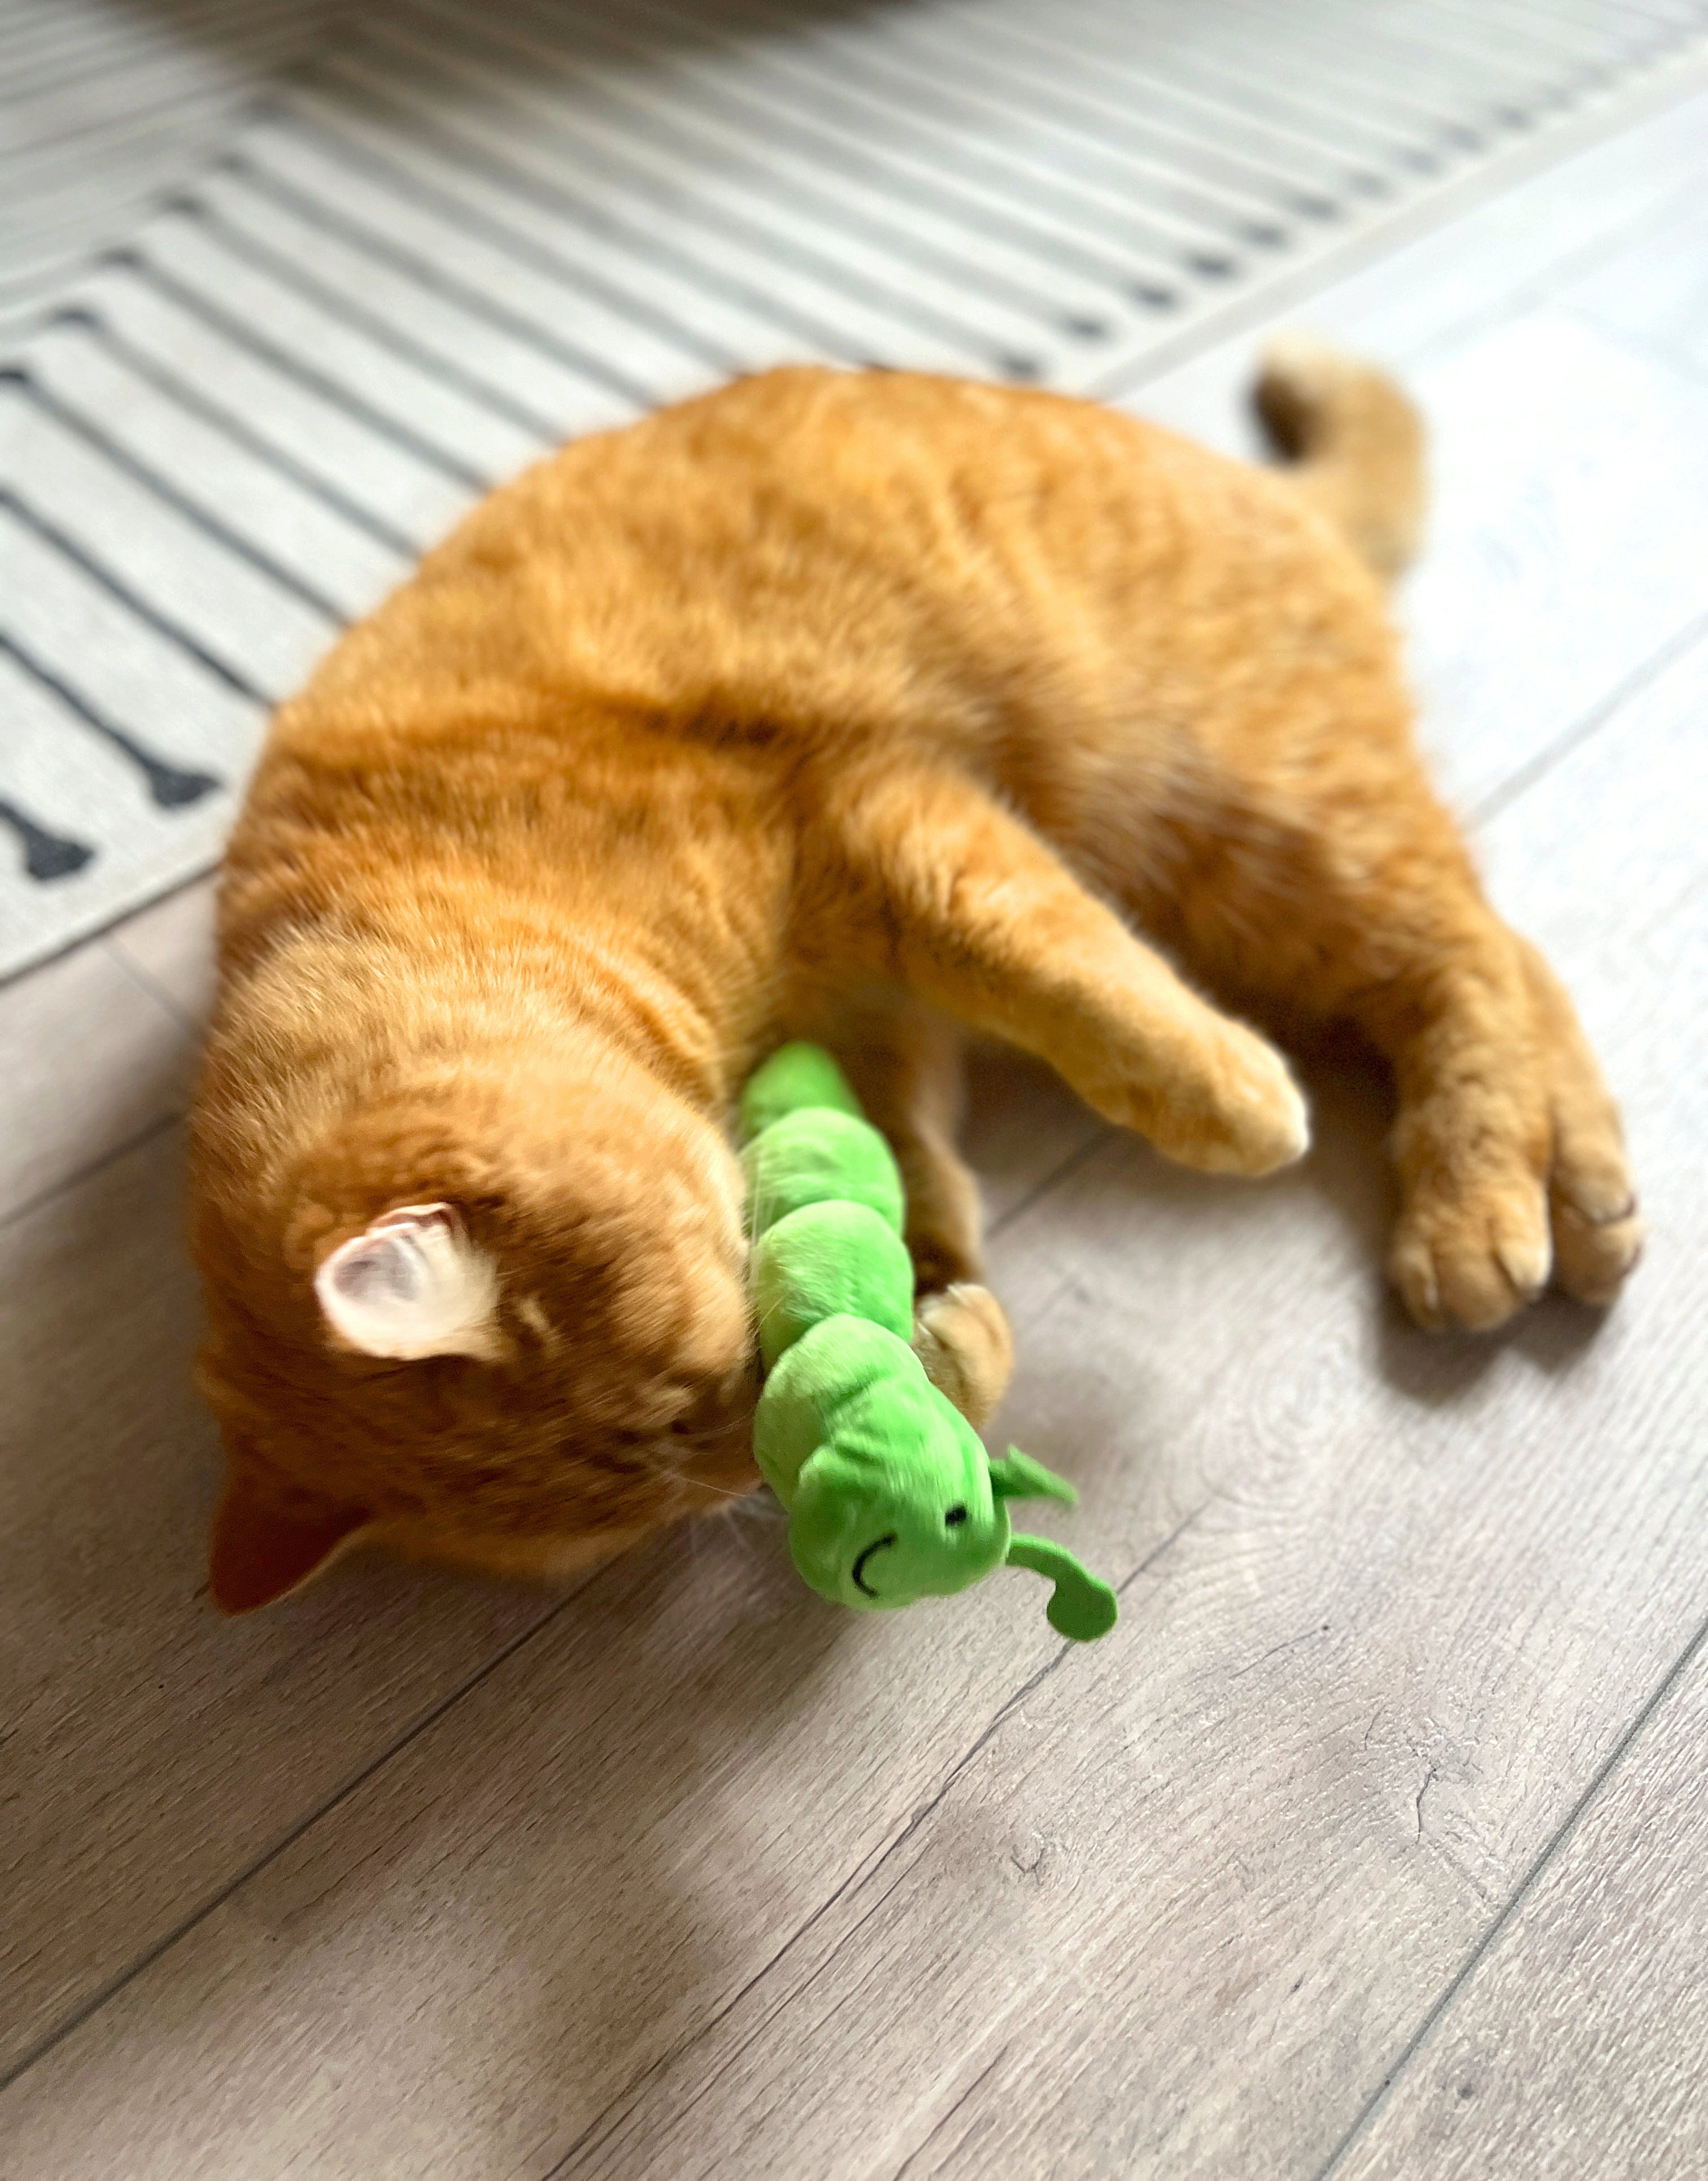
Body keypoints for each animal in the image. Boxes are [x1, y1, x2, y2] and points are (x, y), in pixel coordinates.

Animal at [189, 343, 1640, 1613]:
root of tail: (1264, 489)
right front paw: (935, 1324)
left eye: (691, 1385)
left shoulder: (874, 815)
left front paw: (1229, 1101)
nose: (747, 1442)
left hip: (1255, 821)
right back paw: (1579, 1194)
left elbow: (1071, 974)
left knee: (1466, 951)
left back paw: (1474, 1213)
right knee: (1504, 952)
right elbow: (920, 1184)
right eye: (663, 1493)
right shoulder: (882, 1026)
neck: (430, 871)